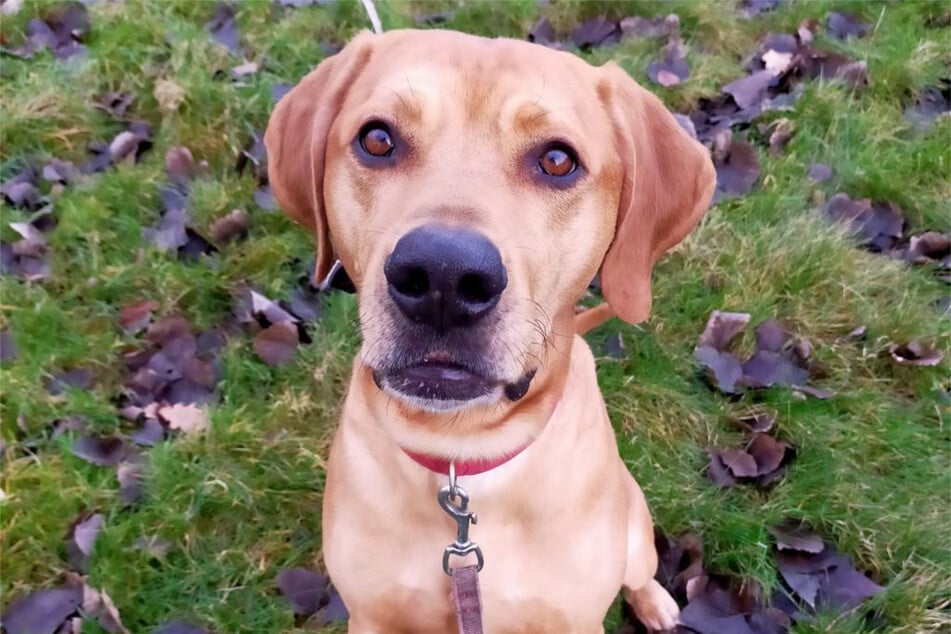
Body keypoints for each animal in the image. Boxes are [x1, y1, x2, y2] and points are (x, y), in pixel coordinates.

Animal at [266, 27, 712, 628]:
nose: (443, 277)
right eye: (377, 139)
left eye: (557, 160)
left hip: (636, 530)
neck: (462, 456)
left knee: (638, 572)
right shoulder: (374, 616)